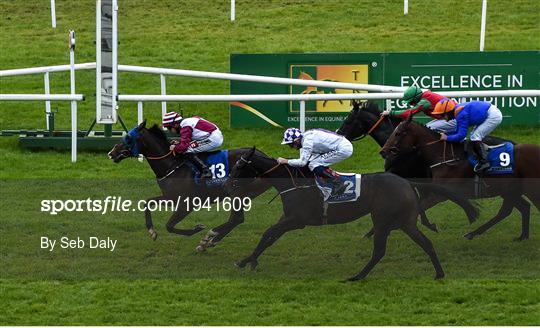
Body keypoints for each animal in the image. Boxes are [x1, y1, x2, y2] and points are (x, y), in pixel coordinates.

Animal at [108, 121, 272, 252]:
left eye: (128, 138)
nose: (111, 153)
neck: (172, 165)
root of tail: (268, 158)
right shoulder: (170, 198)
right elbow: (147, 203)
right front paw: (152, 231)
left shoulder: (187, 204)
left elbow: (169, 226)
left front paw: (196, 229)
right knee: (236, 219)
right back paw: (209, 242)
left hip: (241, 192)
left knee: (237, 218)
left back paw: (209, 238)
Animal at [226, 147, 478, 280]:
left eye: (239, 166)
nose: (228, 184)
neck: (293, 183)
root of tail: (406, 181)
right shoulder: (287, 220)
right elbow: (268, 238)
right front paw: (246, 261)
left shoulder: (296, 220)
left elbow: (267, 233)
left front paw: (249, 261)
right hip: (405, 222)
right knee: (425, 243)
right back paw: (439, 273)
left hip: (384, 220)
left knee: (380, 251)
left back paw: (357, 276)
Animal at [380, 116, 540, 240]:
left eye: (398, 133)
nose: (383, 151)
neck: (445, 156)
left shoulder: (440, 194)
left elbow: (420, 206)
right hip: (509, 190)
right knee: (516, 209)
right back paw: (520, 236)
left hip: (528, 189)